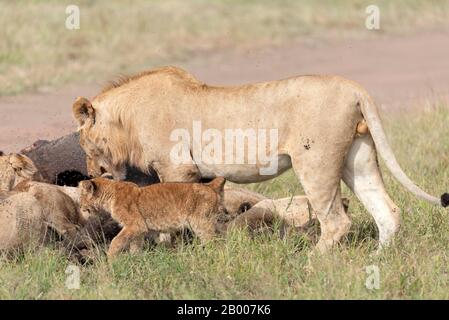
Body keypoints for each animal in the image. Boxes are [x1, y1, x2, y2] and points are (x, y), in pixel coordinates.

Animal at [78, 176, 226, 258]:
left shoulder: (135, 224)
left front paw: (110, 258)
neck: (110, 194)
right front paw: (136, 261)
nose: (80, 208)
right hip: (212, 221)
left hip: (201, 223)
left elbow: (116, 240)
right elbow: (135, 247)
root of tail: (209, 185)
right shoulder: (138, 230)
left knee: (215, 243)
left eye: (81, 198)